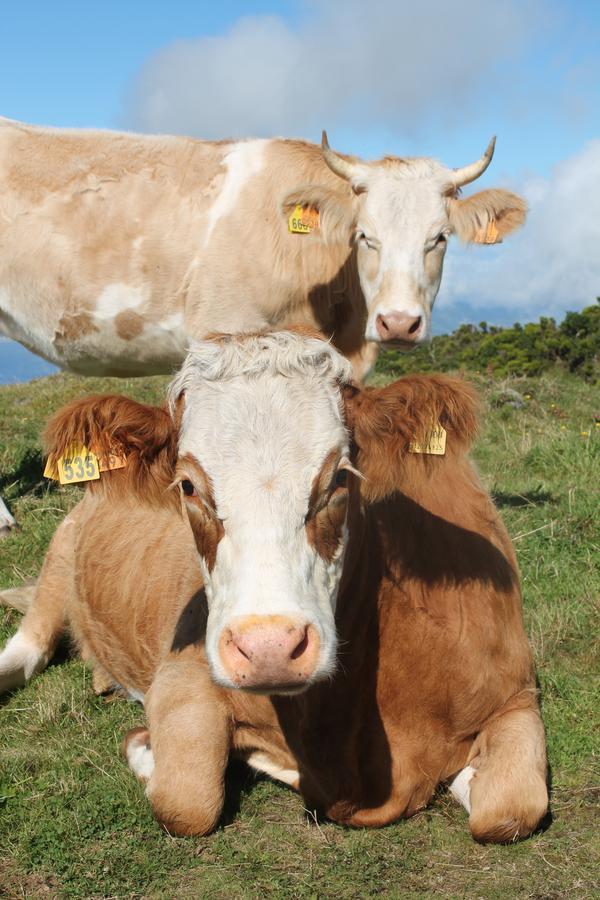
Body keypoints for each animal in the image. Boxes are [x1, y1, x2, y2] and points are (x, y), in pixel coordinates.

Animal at [0, 330, 548, 844]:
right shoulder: (182, 676)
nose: (269, 649)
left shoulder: (516, 693)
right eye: (187, 486)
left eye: (339, 479)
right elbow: (186, 800)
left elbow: (510, 808)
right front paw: (158, 748)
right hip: (58, 564)